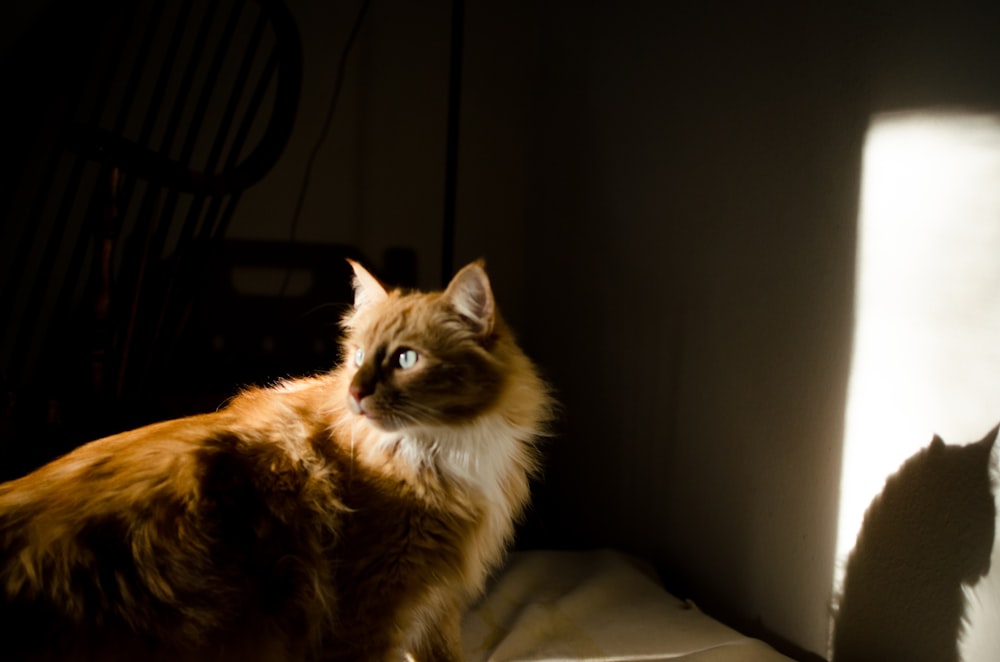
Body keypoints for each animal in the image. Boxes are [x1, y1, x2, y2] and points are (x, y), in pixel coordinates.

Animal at [0, 262, 556, 660]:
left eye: (405, 359)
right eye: (357, 357)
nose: (356, 392)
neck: (440, 447)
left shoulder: (437, 601)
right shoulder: (371, 609)